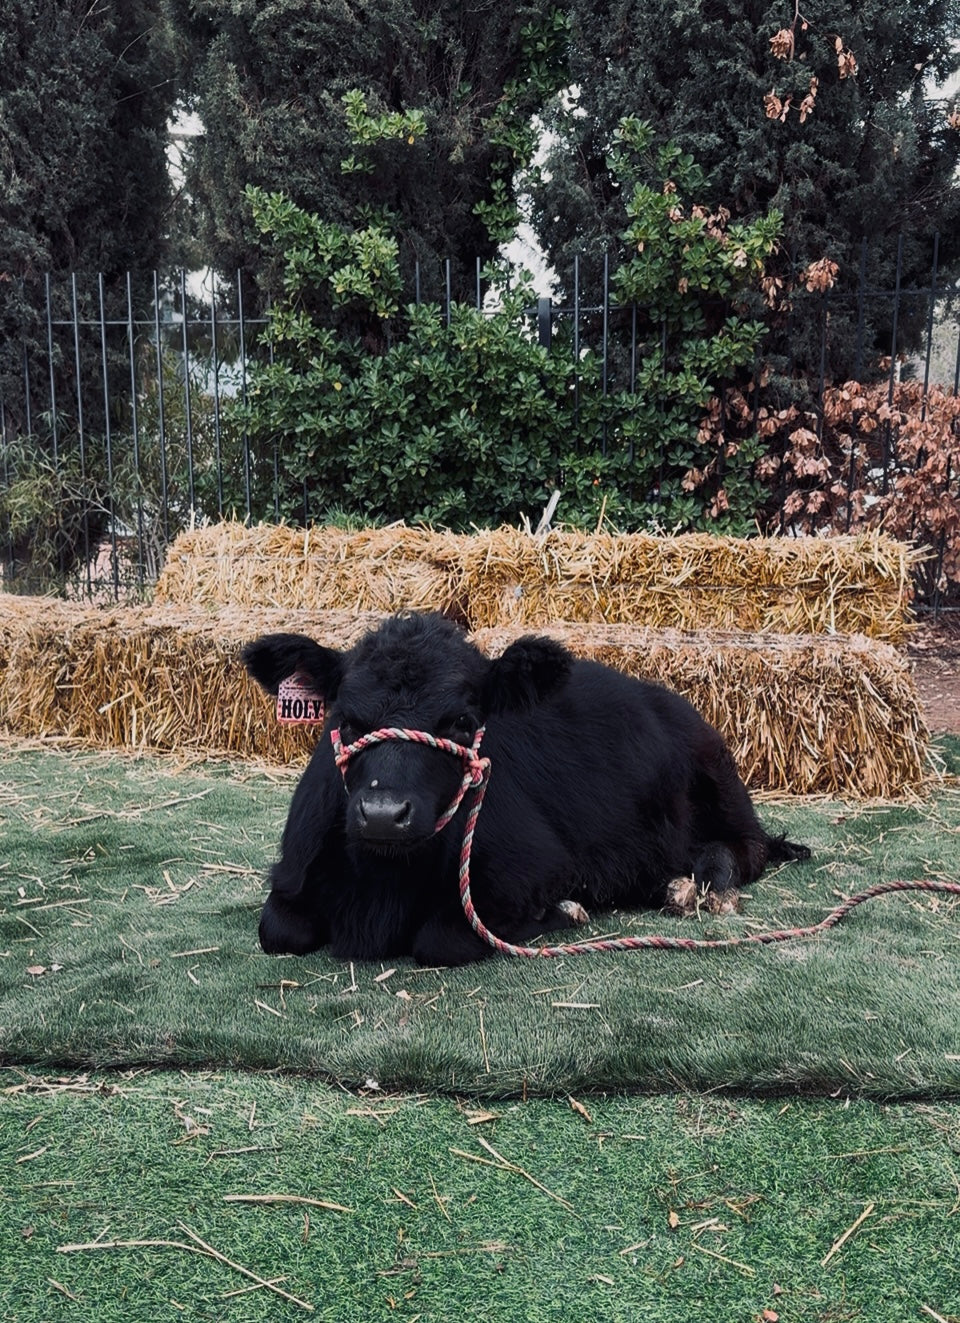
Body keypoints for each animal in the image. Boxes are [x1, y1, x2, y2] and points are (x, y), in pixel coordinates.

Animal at [241, 612, 809, 966]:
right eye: (347, 720)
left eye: (463, 722)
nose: (383, 813)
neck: (382, 883)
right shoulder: (293, 874)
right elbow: (278, 930)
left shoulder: (534, 866)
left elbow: (443, 937)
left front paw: (561, 911)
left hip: (722, 782)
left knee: (746, 847)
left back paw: (702, 884)